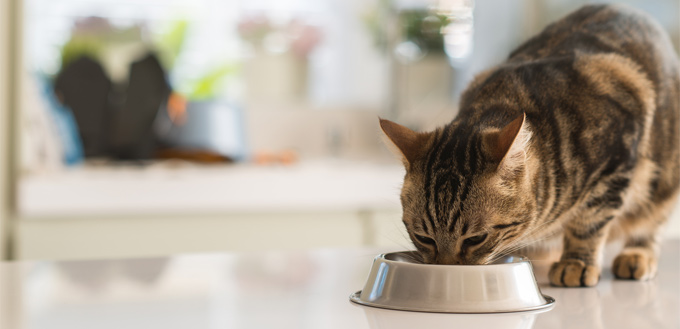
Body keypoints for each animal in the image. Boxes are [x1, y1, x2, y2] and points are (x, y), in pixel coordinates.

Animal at [380, 5, 676, 288]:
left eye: (476, 239)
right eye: (424, 238)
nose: (446, 269)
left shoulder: (616, 157)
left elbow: (589, 222)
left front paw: (577, 262)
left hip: (664, 184)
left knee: (649, 224)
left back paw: (637, 254)